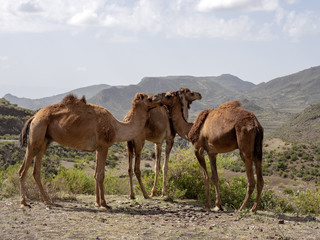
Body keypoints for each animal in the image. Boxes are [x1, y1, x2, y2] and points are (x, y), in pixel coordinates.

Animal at [18, 93, 161, 209]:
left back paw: (48, 201)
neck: (117, 127)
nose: (160, 101)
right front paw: (104, 204)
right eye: (149, 98)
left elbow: (96, 174)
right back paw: (24, 202)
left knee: (36, 171)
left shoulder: (98, 148)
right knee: (23, 170)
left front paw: (97, 203)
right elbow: (101, 175)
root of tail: (34, 117)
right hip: (36, 136)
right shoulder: (104, 146)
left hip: (45, 141)